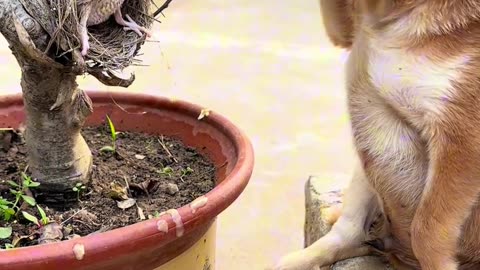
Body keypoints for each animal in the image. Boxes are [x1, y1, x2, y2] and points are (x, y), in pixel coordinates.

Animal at [266, 0, 480, 270]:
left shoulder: (461, 138)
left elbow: (427, 232)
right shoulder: (345, 33)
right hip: (363, 170)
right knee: (347, 232)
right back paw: (303, 257)